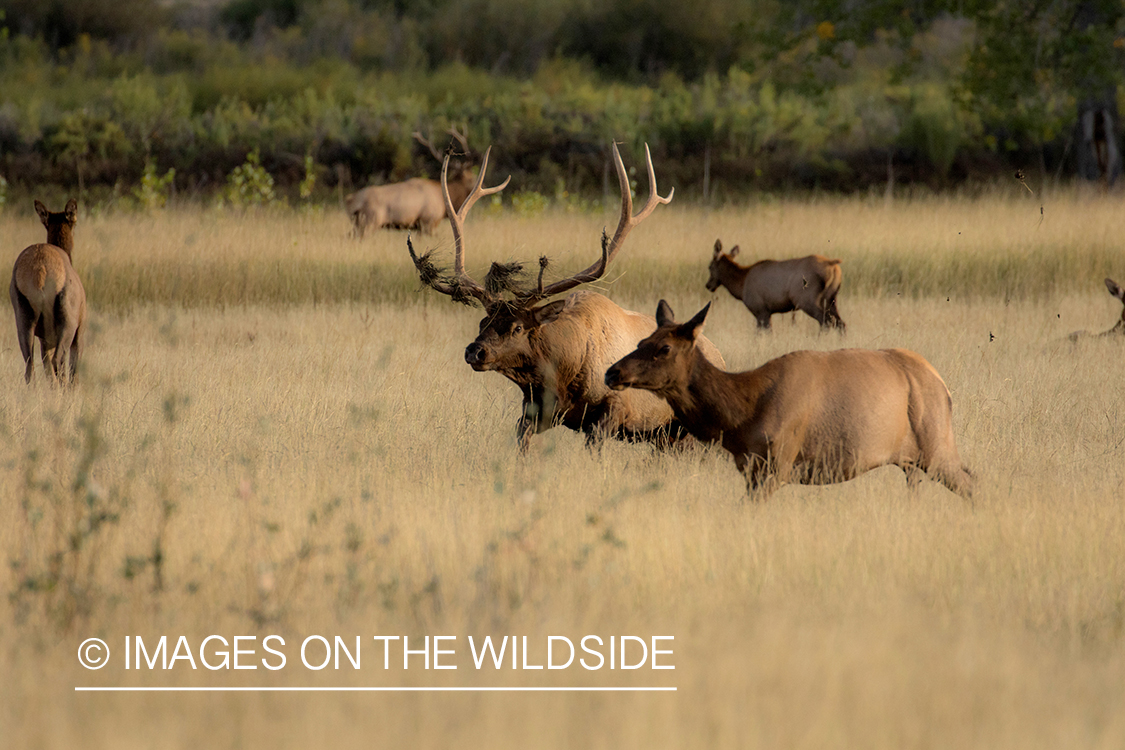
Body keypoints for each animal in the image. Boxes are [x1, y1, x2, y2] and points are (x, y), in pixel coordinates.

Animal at [9, 196, 86, 384]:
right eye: (75, 223)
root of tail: (40, 270)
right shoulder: (80, 331)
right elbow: (74, 371)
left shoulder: (45, 340)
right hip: (67, 322)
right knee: (58, 362)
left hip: (24, 317)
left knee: (30, 367)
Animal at [346, 125, 479, 237]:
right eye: (472, 177)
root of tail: (351, 200)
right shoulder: (427, 222)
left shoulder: (419, 226)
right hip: (370, 222)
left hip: (359, 223)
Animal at [409, 142, 724, 449]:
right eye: (483, 323)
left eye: (518, 327)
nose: (475, 351)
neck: (563, 372)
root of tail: (719, 357)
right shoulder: (536, 410)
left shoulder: (613, 409)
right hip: (663, 436)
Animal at [607, 296, 976, 499]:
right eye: (641, 342)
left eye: (664, 348)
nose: (612, 372)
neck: (740, 420)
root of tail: (943, 387)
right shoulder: (751, 469)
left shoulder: (779, 461)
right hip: (916, 458)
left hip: (936, 441)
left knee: (972, 484)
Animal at [702, 240, 846, 330]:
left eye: (709, 266)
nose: (708, 285)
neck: (741, 285)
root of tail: (833, 265)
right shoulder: (767, 312)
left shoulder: (761, 310)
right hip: (831, 299)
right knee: (841, 323)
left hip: (807, 299)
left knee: (825, 322)